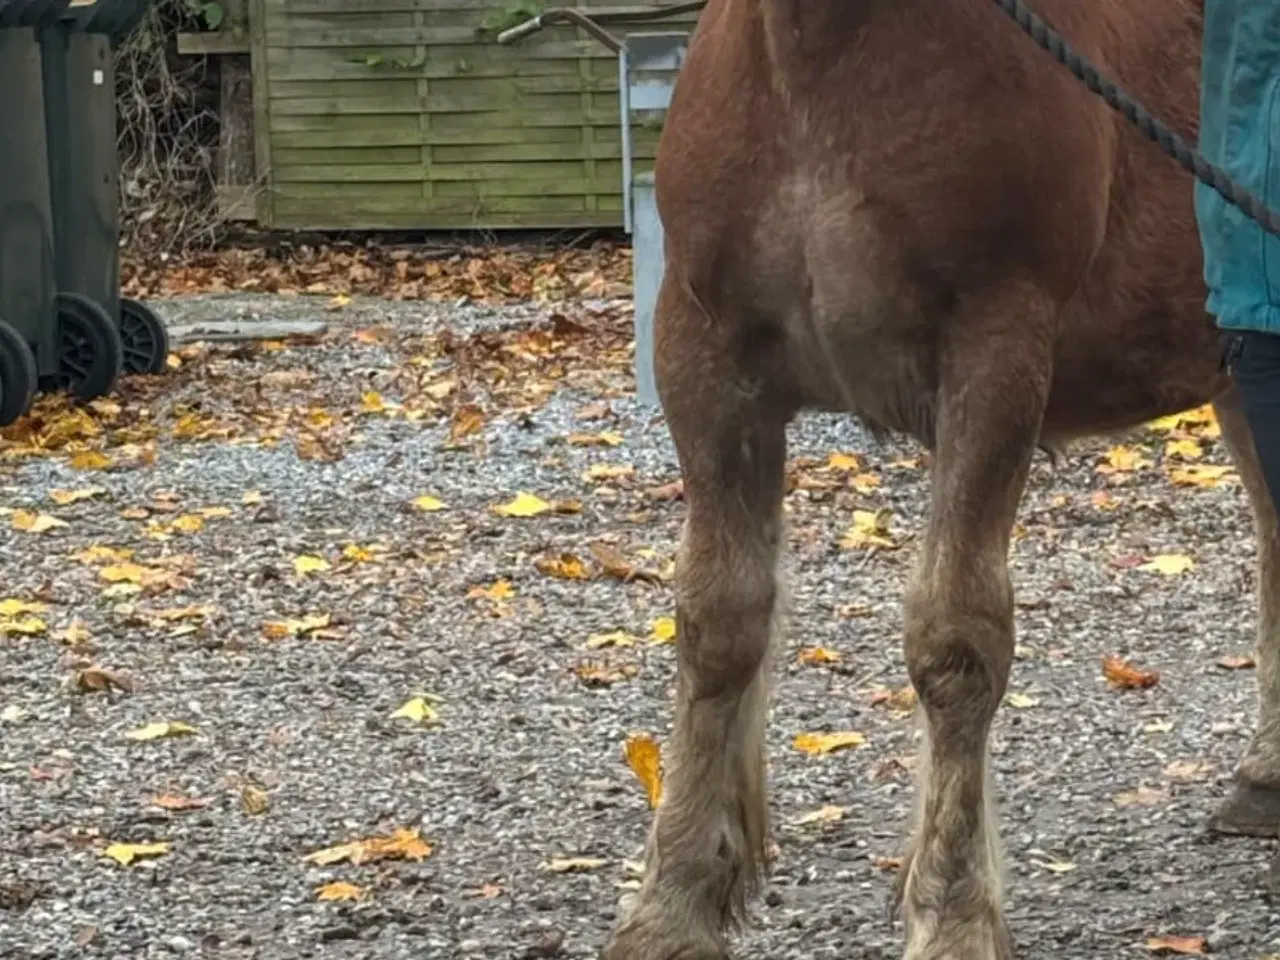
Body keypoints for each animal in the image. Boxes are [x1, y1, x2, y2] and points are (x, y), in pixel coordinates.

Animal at [599, 1, 1280, 960]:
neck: (820, 63)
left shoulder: (994, 358)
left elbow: (956, 640)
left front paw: (954, 916)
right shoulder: (705, 364)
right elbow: (717, 623)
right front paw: (670, 911)